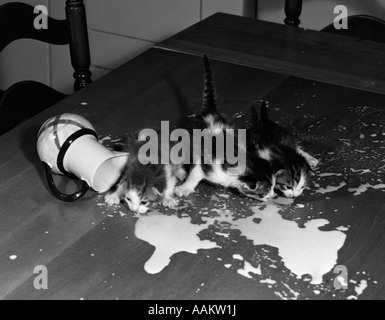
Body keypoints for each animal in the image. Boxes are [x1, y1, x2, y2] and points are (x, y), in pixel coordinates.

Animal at [172, 54, 274, 200]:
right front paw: (185, 188)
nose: (272, 195)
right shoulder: (210, 164)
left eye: (274, 186)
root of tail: (210, 112)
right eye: (265, 192)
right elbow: (195, 173)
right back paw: (180, 171)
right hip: (190, 139)